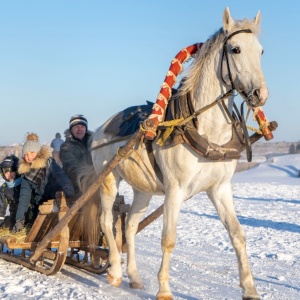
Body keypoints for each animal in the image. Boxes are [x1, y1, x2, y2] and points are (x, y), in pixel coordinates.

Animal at [90, 7, 266, 300]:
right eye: (236, 49)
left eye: (262, 51)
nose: (260, 94)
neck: (206, 132)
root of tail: (99, 128)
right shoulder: (175, 189)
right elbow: (168, 239)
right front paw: (163, 289)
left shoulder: (219, 188)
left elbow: (237, 234)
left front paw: (250, 288)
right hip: (109, 178)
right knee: (106, 221)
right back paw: (114, 270)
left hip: (143, 189)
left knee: (130, 226)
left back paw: (134, 276)